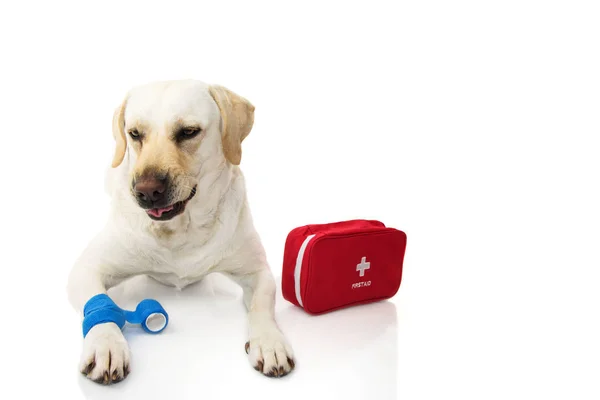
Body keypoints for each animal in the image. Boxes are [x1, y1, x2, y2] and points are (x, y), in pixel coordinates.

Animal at [68, 79, 296, 384]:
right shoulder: (87, 269)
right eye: (135, 134)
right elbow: (99, 306)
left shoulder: (258, 271)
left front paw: (270, 342)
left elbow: (262, 305)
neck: (181, 231)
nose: (146, 191)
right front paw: (105, 344)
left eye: (188, 132)